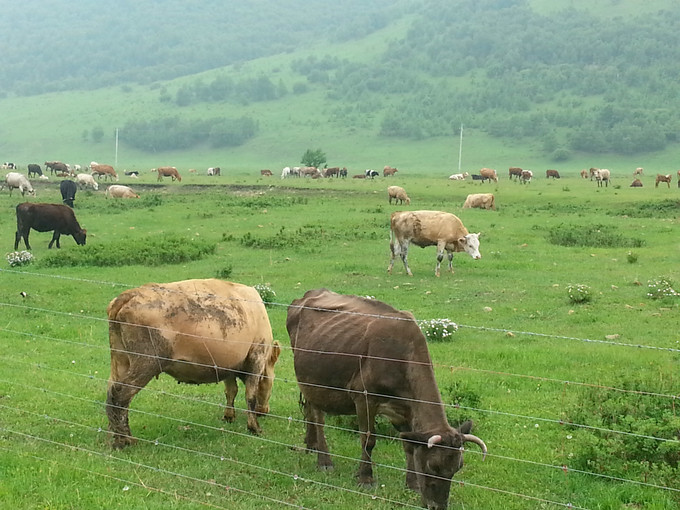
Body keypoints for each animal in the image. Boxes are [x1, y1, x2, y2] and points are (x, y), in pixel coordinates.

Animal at [105, 278, 280, 450]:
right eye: (271, 381)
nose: (264, 411)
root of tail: (130, 294)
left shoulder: (229, 365)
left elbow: (231, 391)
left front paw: (229, 416)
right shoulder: (256, 356)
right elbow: (250, 395)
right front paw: (254, 428)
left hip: (121, 359)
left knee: (111, 392)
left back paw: (114, 435)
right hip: (146, 362)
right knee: (121, 394)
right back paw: (125, 440)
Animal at [286, 288, 488, 508]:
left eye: (457, 468)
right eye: (432, 466)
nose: (437, 506)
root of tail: (311, 293)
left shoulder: (405, 409)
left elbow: (409, 445)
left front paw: (412, 483)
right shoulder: (364, 398)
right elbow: (368, 440)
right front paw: (366, 478)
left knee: (309, 410)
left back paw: (311, 445)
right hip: (313, 382)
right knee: (318, 418)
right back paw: (324, 461)